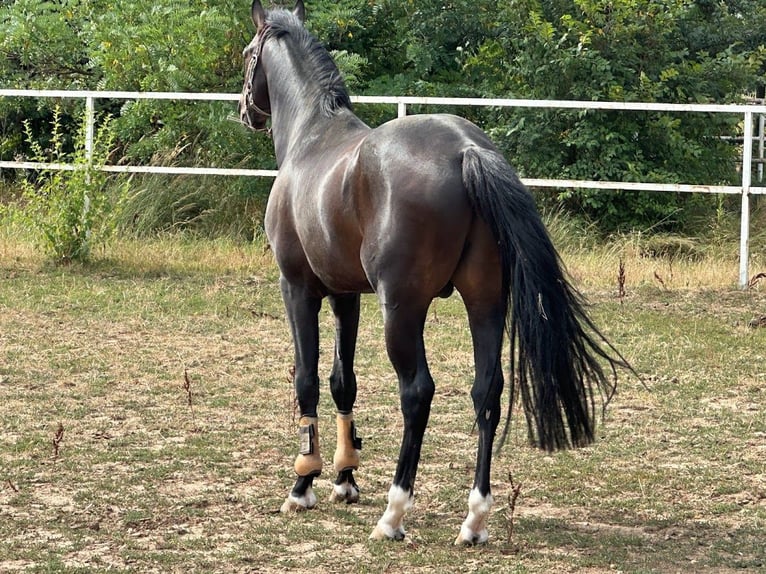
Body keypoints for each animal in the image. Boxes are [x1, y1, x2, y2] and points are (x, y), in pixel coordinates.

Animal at [238, 0, 632, 548]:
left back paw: (394, 513)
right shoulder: (345, 294)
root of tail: (466, 149)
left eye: (248, 54)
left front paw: (303, 483)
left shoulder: (298, 289)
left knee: (417, 393)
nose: (245, 111)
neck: (312, 137)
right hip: (485, 302)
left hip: (403, 310)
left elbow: (308, 380)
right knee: (487, 391)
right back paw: (475, 519)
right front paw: (345, 478)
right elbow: (343, 382)